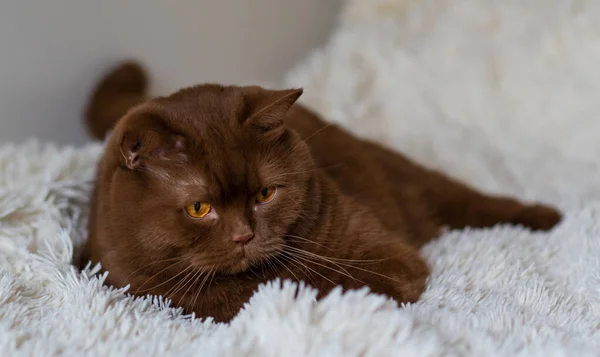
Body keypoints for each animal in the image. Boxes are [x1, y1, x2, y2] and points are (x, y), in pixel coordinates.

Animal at [79, 61, 564, 322]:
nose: (244, 236)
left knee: (475, 201)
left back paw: (548, 217)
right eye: (199, 208)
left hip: (421, 182)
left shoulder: (385, 253)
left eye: (265, 195)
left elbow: (333, 284)